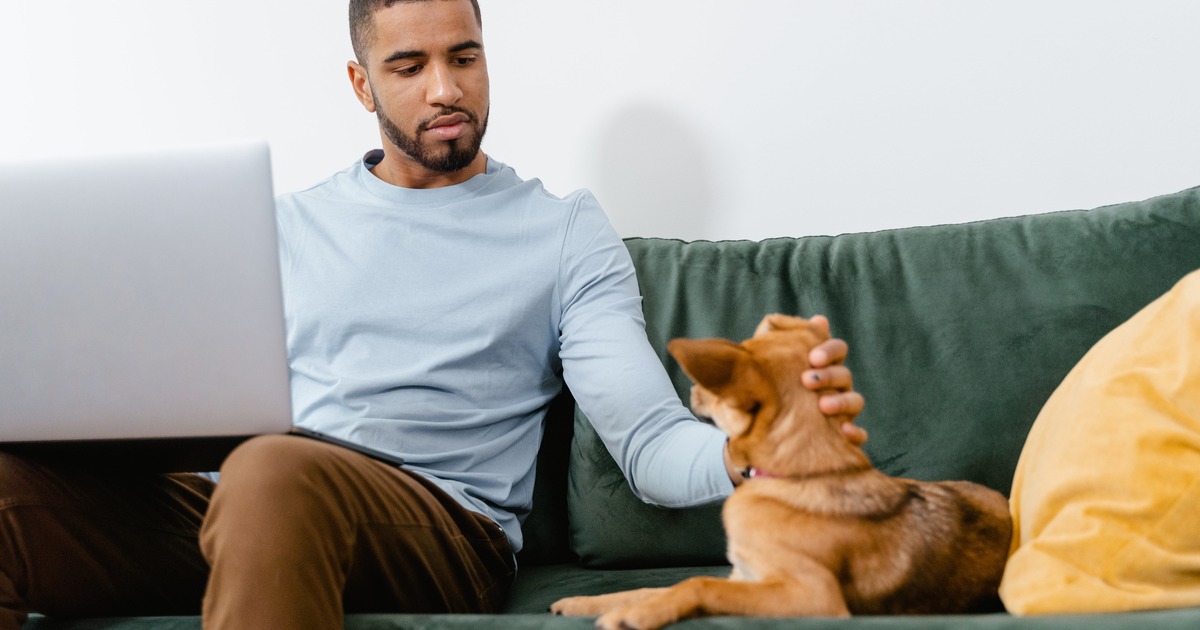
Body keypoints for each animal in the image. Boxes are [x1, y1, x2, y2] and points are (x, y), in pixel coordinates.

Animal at [552, 312, 1012, 624]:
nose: (692, 391)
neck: (802, 476)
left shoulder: (810, 595)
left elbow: (696, 583)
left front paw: (637, 615)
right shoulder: (744, 578)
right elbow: (649, 586)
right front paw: (587, 604)